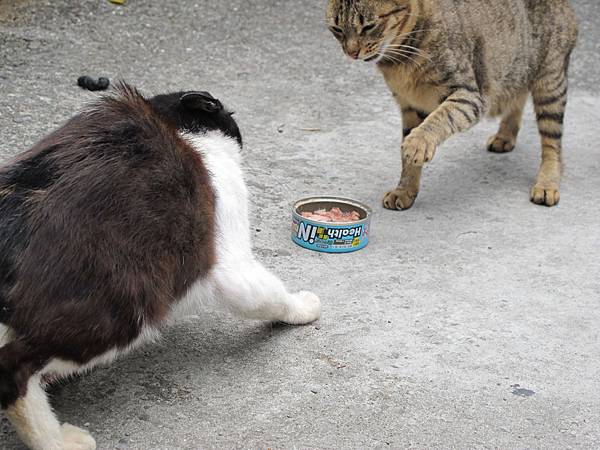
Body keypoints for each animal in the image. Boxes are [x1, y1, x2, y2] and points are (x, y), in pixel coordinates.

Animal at [0, 84, 322, 450]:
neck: (180, 132)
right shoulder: (230, 264)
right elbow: (269, 296)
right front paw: (303, 307)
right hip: (118, 312)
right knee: (14, 373)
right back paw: (58, 439)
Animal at [326, 0, 580, 208]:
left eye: (369, 26)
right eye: (337, 29)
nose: (351, 52)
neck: (401, 60)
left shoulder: (470, 96)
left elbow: (439, 119)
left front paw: (417, 144)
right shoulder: (409, 107)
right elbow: (407, 161)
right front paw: (404, 190)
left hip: (550, 81)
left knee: (552, 144)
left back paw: (547, 183)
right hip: (517, 67)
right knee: (518, 96)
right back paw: (505, 136)